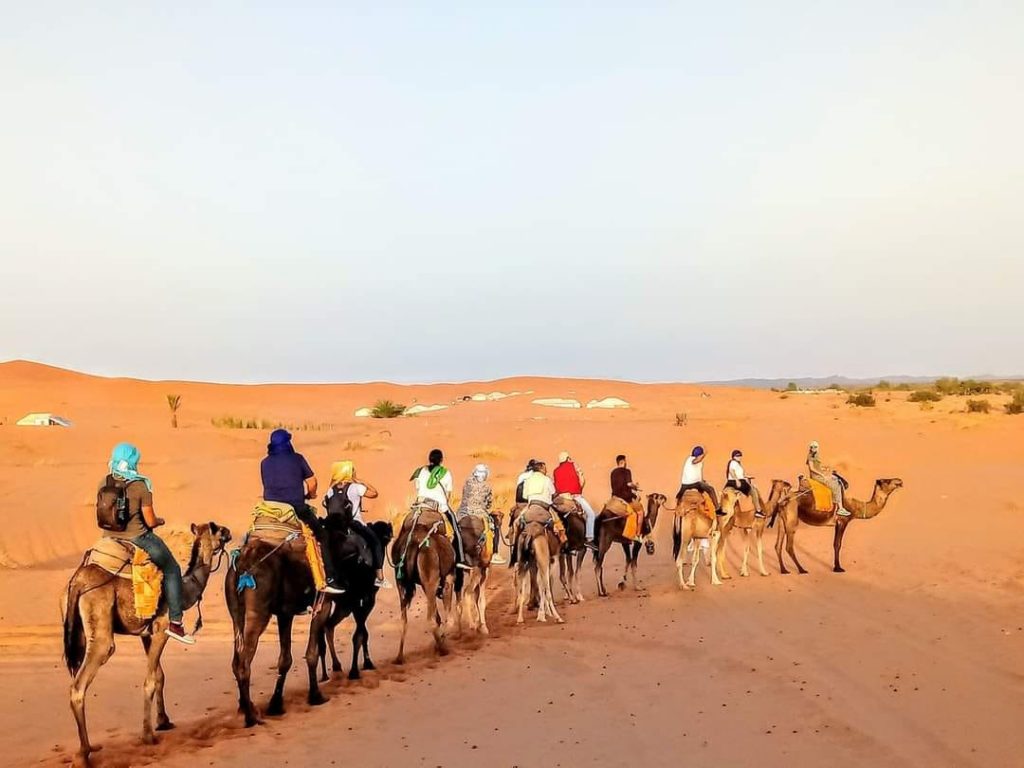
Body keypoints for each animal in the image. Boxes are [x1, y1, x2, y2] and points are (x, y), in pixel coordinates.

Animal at [64, 520, 232, 765]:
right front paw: (148, 735)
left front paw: (164, 721)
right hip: (100, 626)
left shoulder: (146, 633)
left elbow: (159, 675)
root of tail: (78, 581)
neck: (185, 590)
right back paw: (85, 754)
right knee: (80, 685)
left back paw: (88, 748)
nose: (229, 532)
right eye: (218, 529)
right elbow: (150, 681)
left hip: (77, 631)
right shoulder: (163, 628)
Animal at [391, 507, 456, 663]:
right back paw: (442, 649)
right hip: (431, 577)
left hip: (401, 581)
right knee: (430, 619)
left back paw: (399, 657)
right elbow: (448, 618)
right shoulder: (448, 577)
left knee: (404, 619)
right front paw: (441, 642)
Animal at [770, 475, 905, 577]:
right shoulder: (842, 521)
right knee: (788, 546)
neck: (855, 507)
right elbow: (837, 544)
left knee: (777, 545)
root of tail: (783, 500)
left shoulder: (837, 524)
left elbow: (835, 544)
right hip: (792, 519)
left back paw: (784, 570)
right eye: (886, 481)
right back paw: (802, 569)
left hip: (782, 520)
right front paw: (838, 568)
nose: (899, 481)